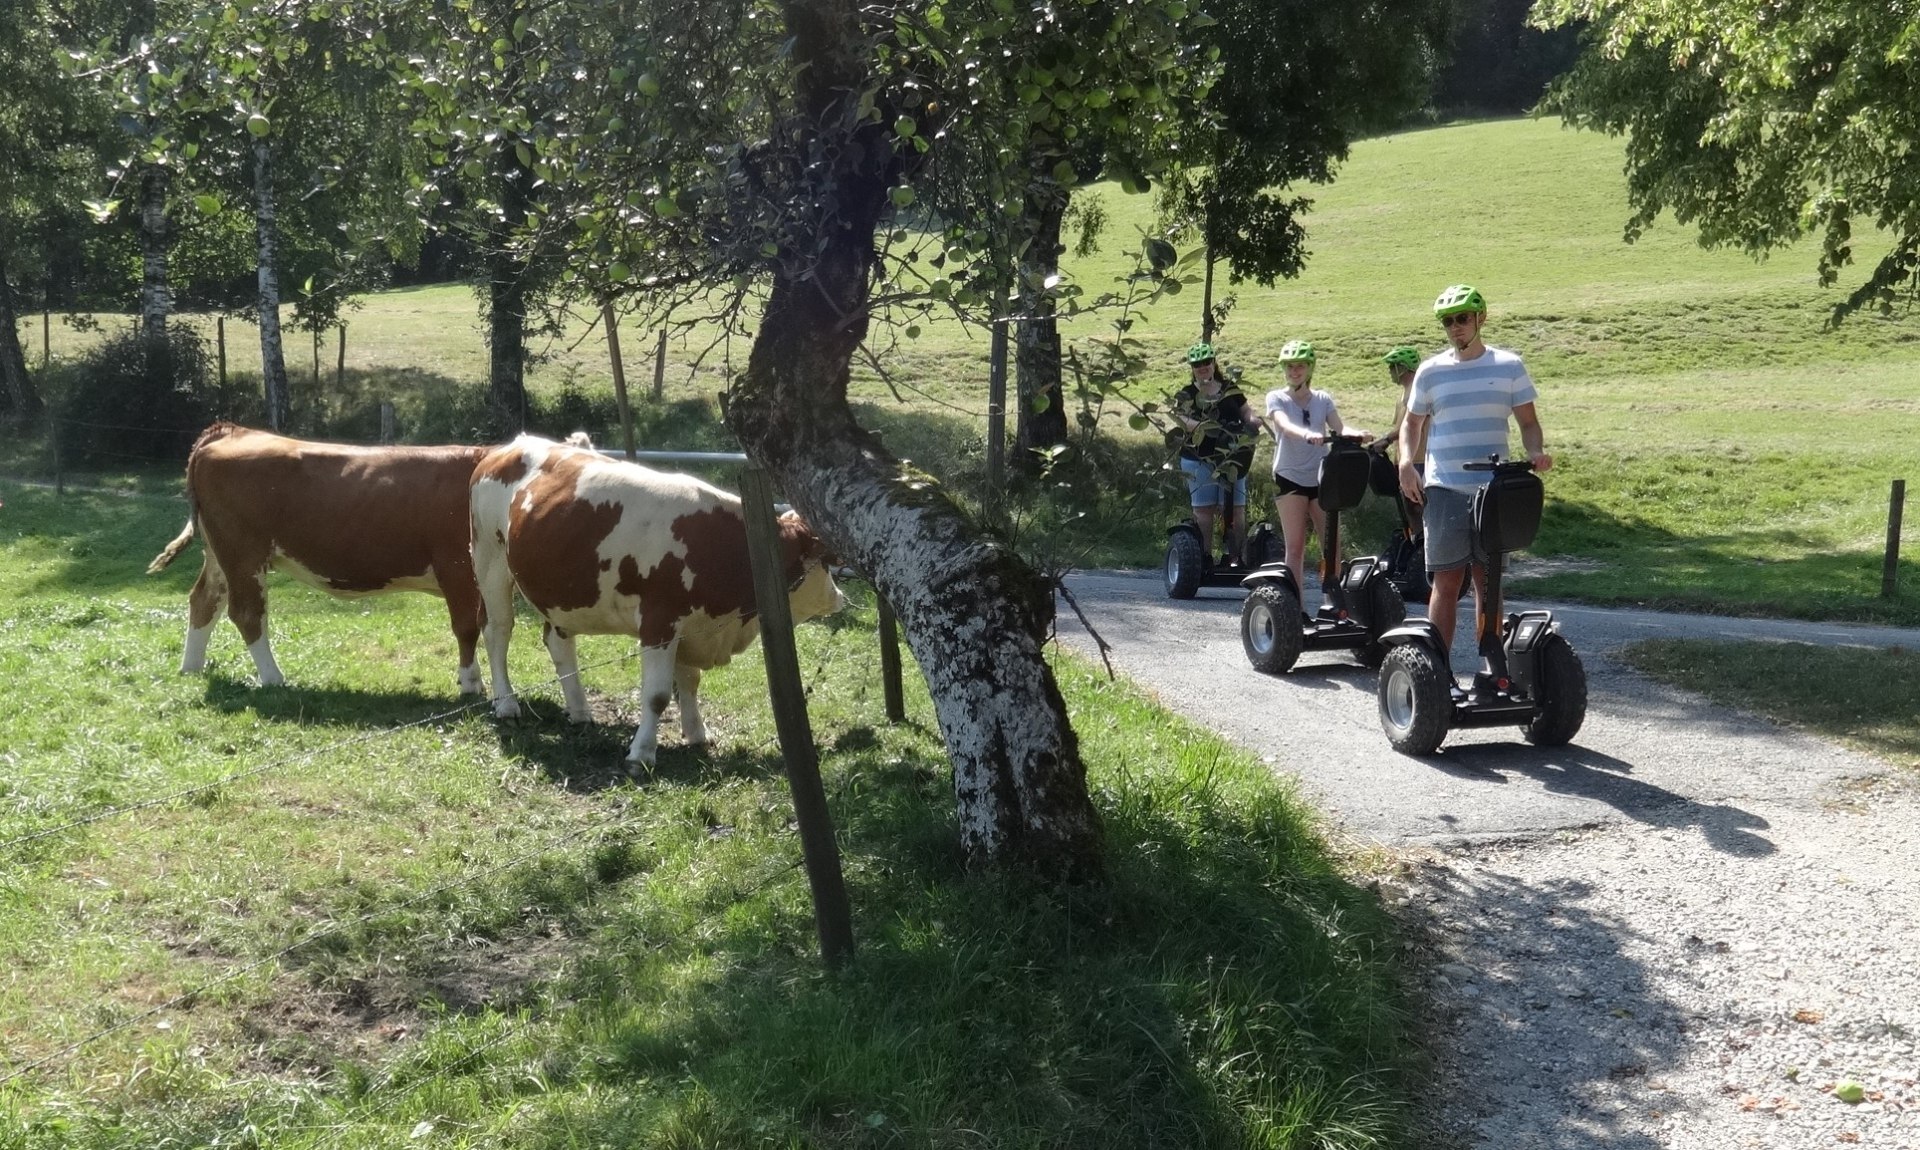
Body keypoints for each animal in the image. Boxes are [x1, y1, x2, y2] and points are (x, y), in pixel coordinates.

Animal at [150, 422, 495, 691]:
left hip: (221, 556)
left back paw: (191, 668)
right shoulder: (458, 568)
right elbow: (467, 627)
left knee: (205, 600)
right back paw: (273, 678)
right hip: (243, 554)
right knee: (247, 612)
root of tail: (232, 430)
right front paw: (471, 683)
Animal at [468, 431, 844, 764]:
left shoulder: (692, 625)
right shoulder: (660, 622)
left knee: (559, 644)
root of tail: (510, 445)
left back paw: (580, 711)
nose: (839, 596)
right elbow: (658, 695)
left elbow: (690, 682)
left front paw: (697, 734)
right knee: (498, 632)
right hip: (490, 561)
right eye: (826, 563)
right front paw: (642, 754)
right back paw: (507, 703)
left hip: (559, 593)